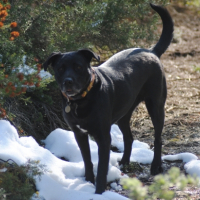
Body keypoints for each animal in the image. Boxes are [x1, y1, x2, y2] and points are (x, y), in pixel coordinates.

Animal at [43, 3, 173, 194]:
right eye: (60, 68)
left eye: (78, 67)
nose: (68, 82)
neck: (82, 100)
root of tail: (151, 51)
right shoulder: (79, 134)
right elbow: (88, 161)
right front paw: (88, 182)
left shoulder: (103, 137)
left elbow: (103, 168)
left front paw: (98, 192)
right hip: (124, 113)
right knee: (129, 137)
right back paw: (125, 162)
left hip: (155, 106)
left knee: (157, 137)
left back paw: (156, 166)